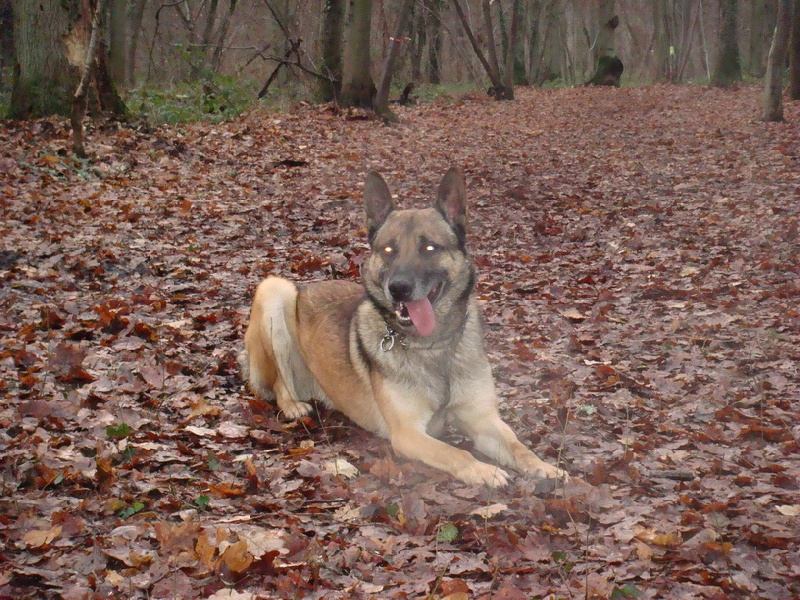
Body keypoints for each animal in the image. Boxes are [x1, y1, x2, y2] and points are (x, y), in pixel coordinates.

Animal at [241, 169, 564, 488]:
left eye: (429, 248)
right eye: (388, 249)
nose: (398, 288)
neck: (432, 346)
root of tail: (307, 286)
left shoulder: (483, 419)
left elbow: (518, 446)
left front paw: (544, 466)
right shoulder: (408, 433)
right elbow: (455, 452)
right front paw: (483, 470)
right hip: (275, 289)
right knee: (278, 384)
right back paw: (293, 405)